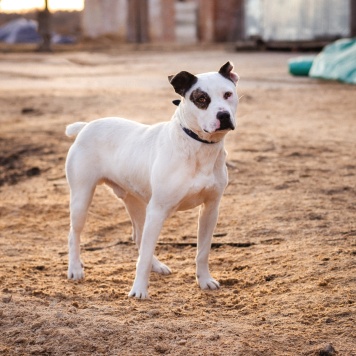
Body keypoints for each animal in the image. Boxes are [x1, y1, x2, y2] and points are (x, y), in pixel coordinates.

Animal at [66, 62, 239, 298]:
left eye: (228, 94)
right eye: (202, 98)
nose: (223, 115)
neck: (197, 146)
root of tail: (86, 126)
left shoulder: (210, 209)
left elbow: (202, 251)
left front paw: (204, 280)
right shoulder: (158, 210)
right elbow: (144, 257)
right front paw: (139, 290)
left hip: (135, 201)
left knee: (140, 237)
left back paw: (157, 265)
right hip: (82, 198)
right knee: (74, 233)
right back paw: (75, 268)